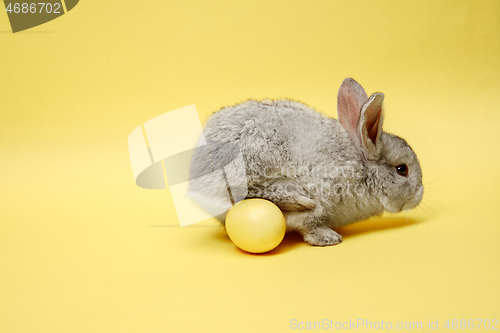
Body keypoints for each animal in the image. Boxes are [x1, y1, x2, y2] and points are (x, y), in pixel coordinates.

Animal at [188, 77, 422, 244]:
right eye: (402, 169)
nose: (419, 195)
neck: (361, 169)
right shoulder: (325, 191)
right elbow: (312, 224)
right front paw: (328, 238)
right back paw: (297, 200)